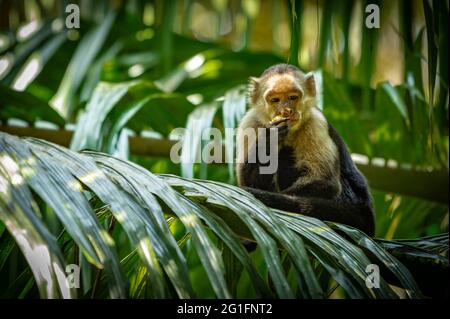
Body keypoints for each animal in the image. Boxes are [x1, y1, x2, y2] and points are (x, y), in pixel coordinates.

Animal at [234, 63, 374, 239]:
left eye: (293, 97)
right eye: (275, 100)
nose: (286, 110)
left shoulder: (316, 122)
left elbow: (326, 182)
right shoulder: (250, 122)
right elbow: (246, 179)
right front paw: (270, 137)